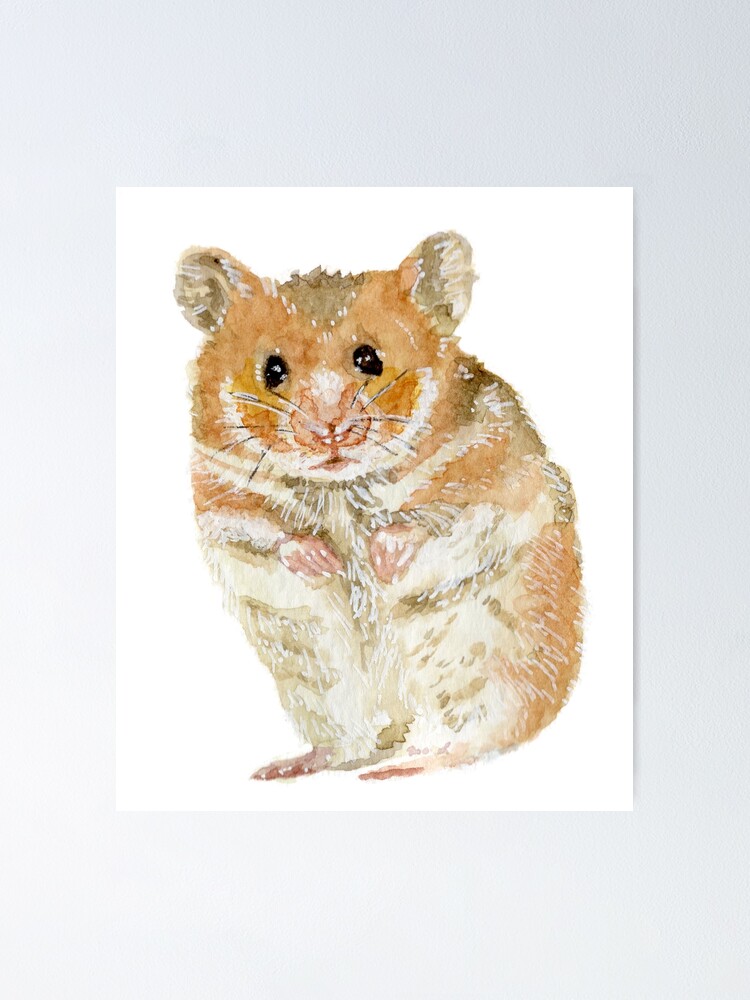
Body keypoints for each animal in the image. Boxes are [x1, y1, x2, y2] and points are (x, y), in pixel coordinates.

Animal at [174, 232, 583, 780]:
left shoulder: (505, 470)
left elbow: (450, 514)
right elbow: (265, 531)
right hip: (318, 677)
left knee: (484, 735)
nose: (327, 432)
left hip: (485, 661)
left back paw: (407, 766)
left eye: (369, 359)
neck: (340, 487)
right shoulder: (218, 495)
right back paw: (290, 767)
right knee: (352, 741)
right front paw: (325, 561)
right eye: (272, 370)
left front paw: (379, 558)